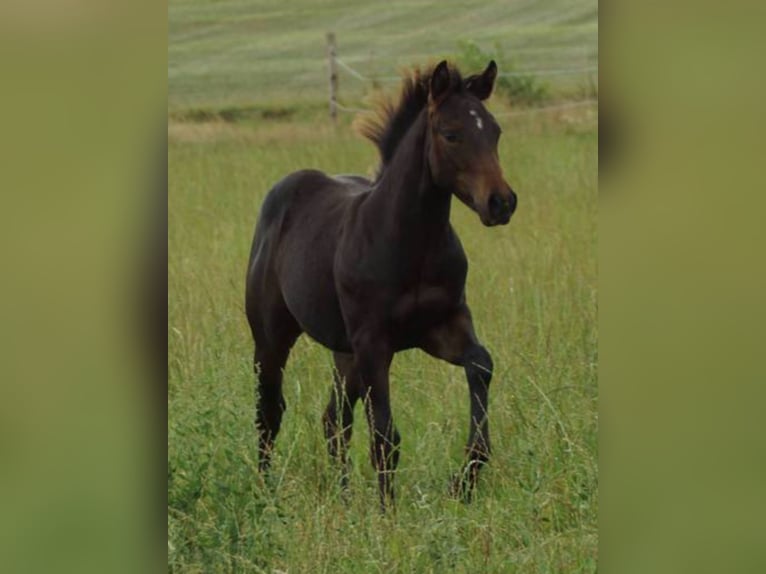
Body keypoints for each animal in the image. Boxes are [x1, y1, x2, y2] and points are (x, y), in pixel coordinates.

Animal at [245, 60, 517, 507]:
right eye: (451, 133)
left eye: (495, 131)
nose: (501, 202)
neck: (411, 244)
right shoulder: (375, 342)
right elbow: (385, 437)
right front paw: (388, 514)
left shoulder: (443, 327)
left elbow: (481, 364)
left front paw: (462, 482)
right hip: (272, 338)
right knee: (269, 411)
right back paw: (266, 494)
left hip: (345, 354)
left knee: (334, 420)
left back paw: (343, 497)